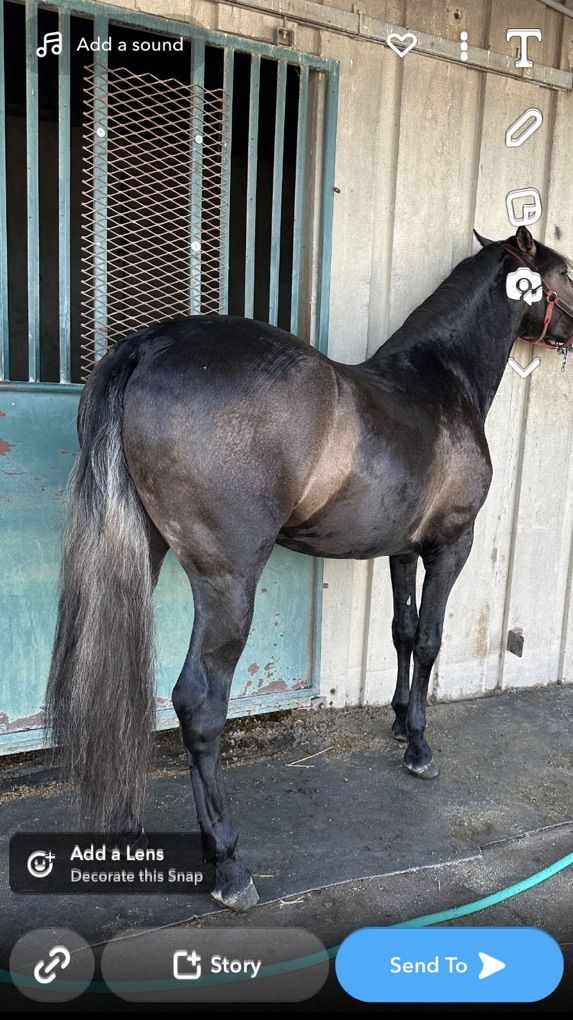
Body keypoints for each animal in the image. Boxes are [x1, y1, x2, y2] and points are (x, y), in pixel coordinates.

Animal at [47, 226, 573, 911]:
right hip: (227, 583)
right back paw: (229, 865)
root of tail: (150, 345)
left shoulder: (403, 549)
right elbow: (431, 641)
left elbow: (403, 633)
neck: (440, 383)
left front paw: (398, 721)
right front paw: (420, 746)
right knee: (198, 703)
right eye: (566, 273)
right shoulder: (451, 544)